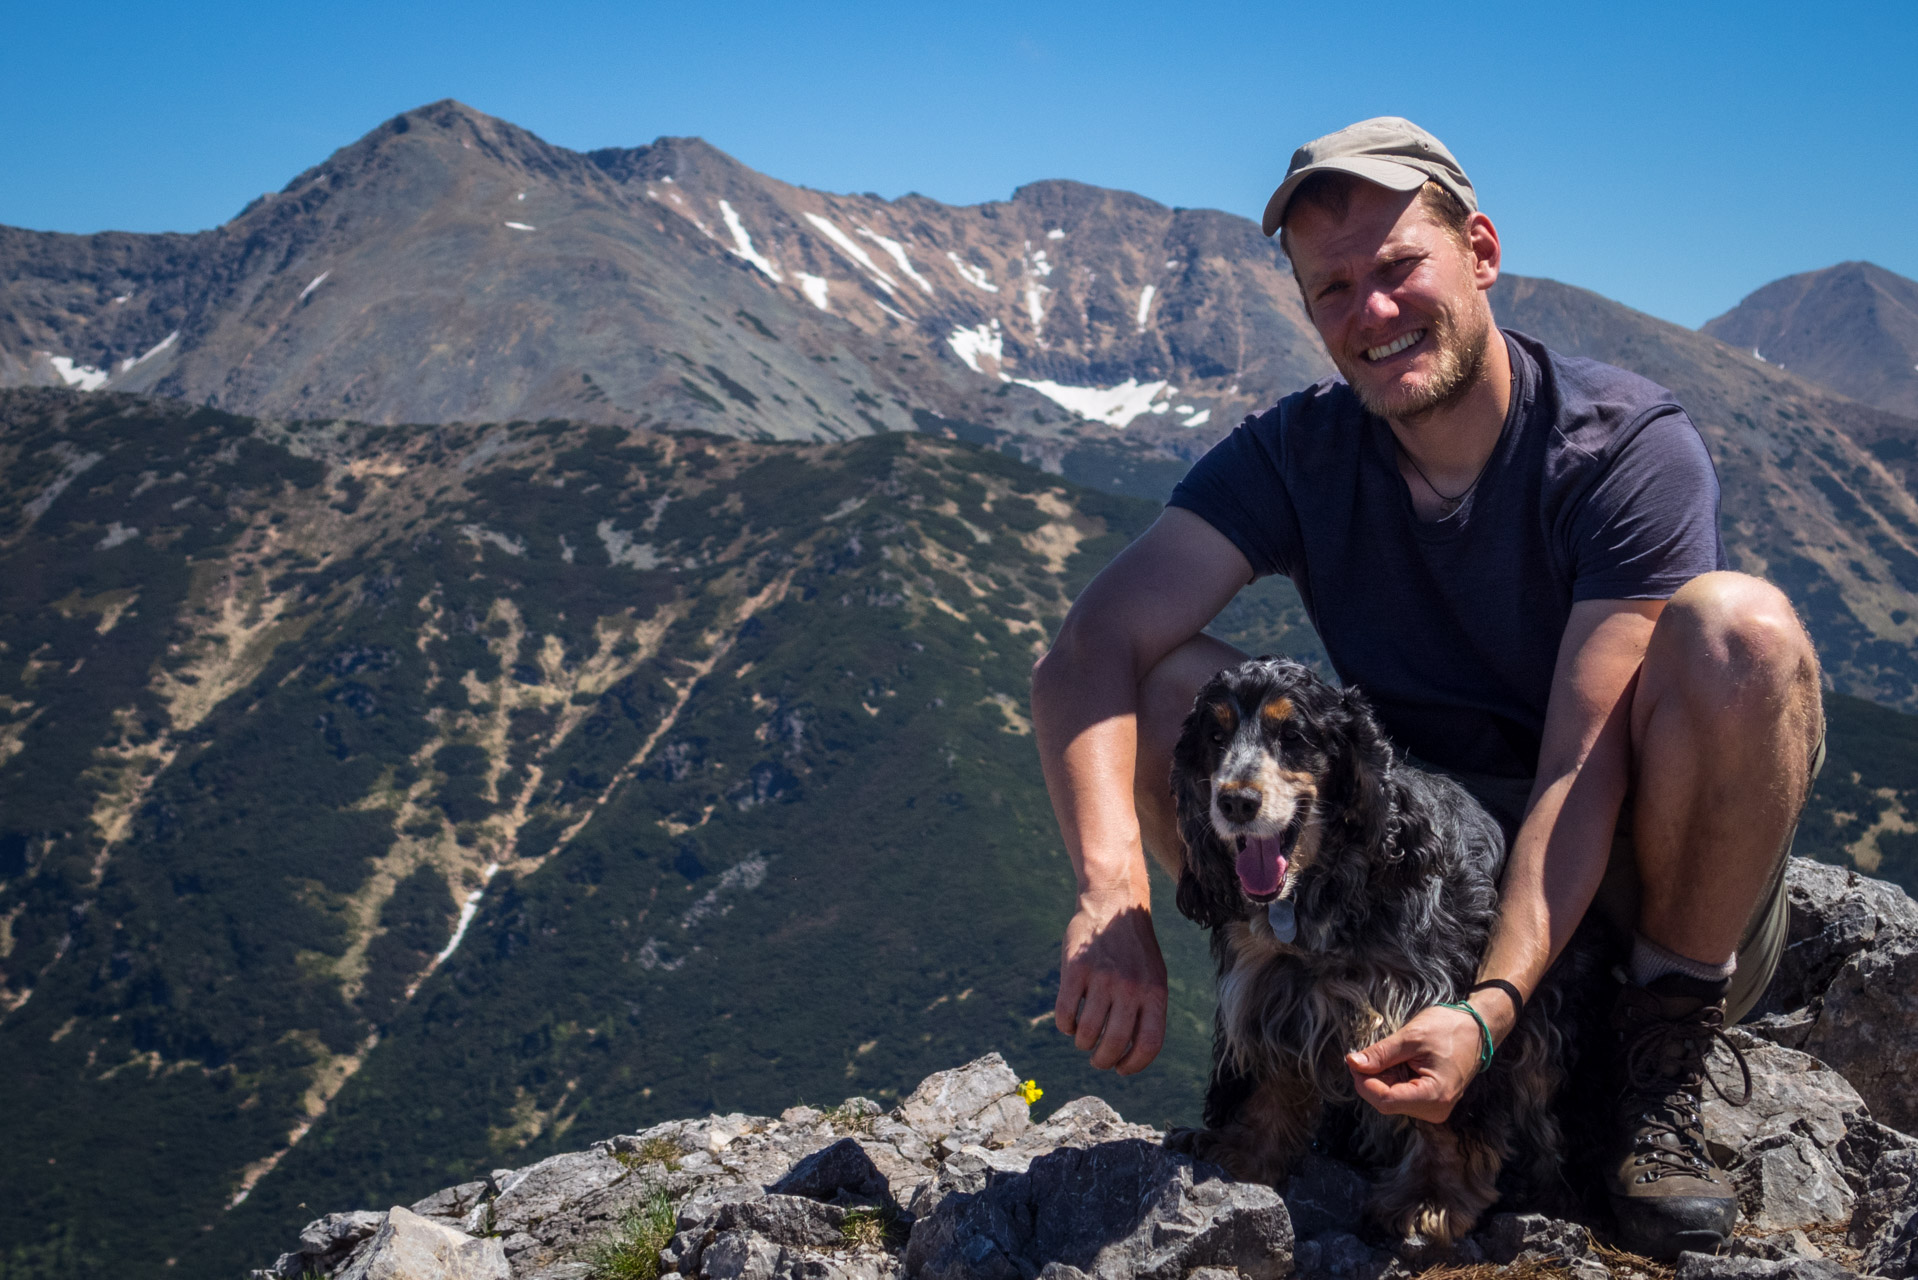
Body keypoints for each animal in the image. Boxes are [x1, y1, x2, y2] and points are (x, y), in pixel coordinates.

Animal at [1158, 660, 1580, 1243]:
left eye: (1293, 736)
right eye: (1215, 737)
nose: (1236, 802)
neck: (1315, 904)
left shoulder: (1434, 1008)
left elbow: (1444, 1114)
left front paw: (1430, 1198)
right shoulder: (1269, 993)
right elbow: (1268, 1081)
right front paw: (1242, 1155)